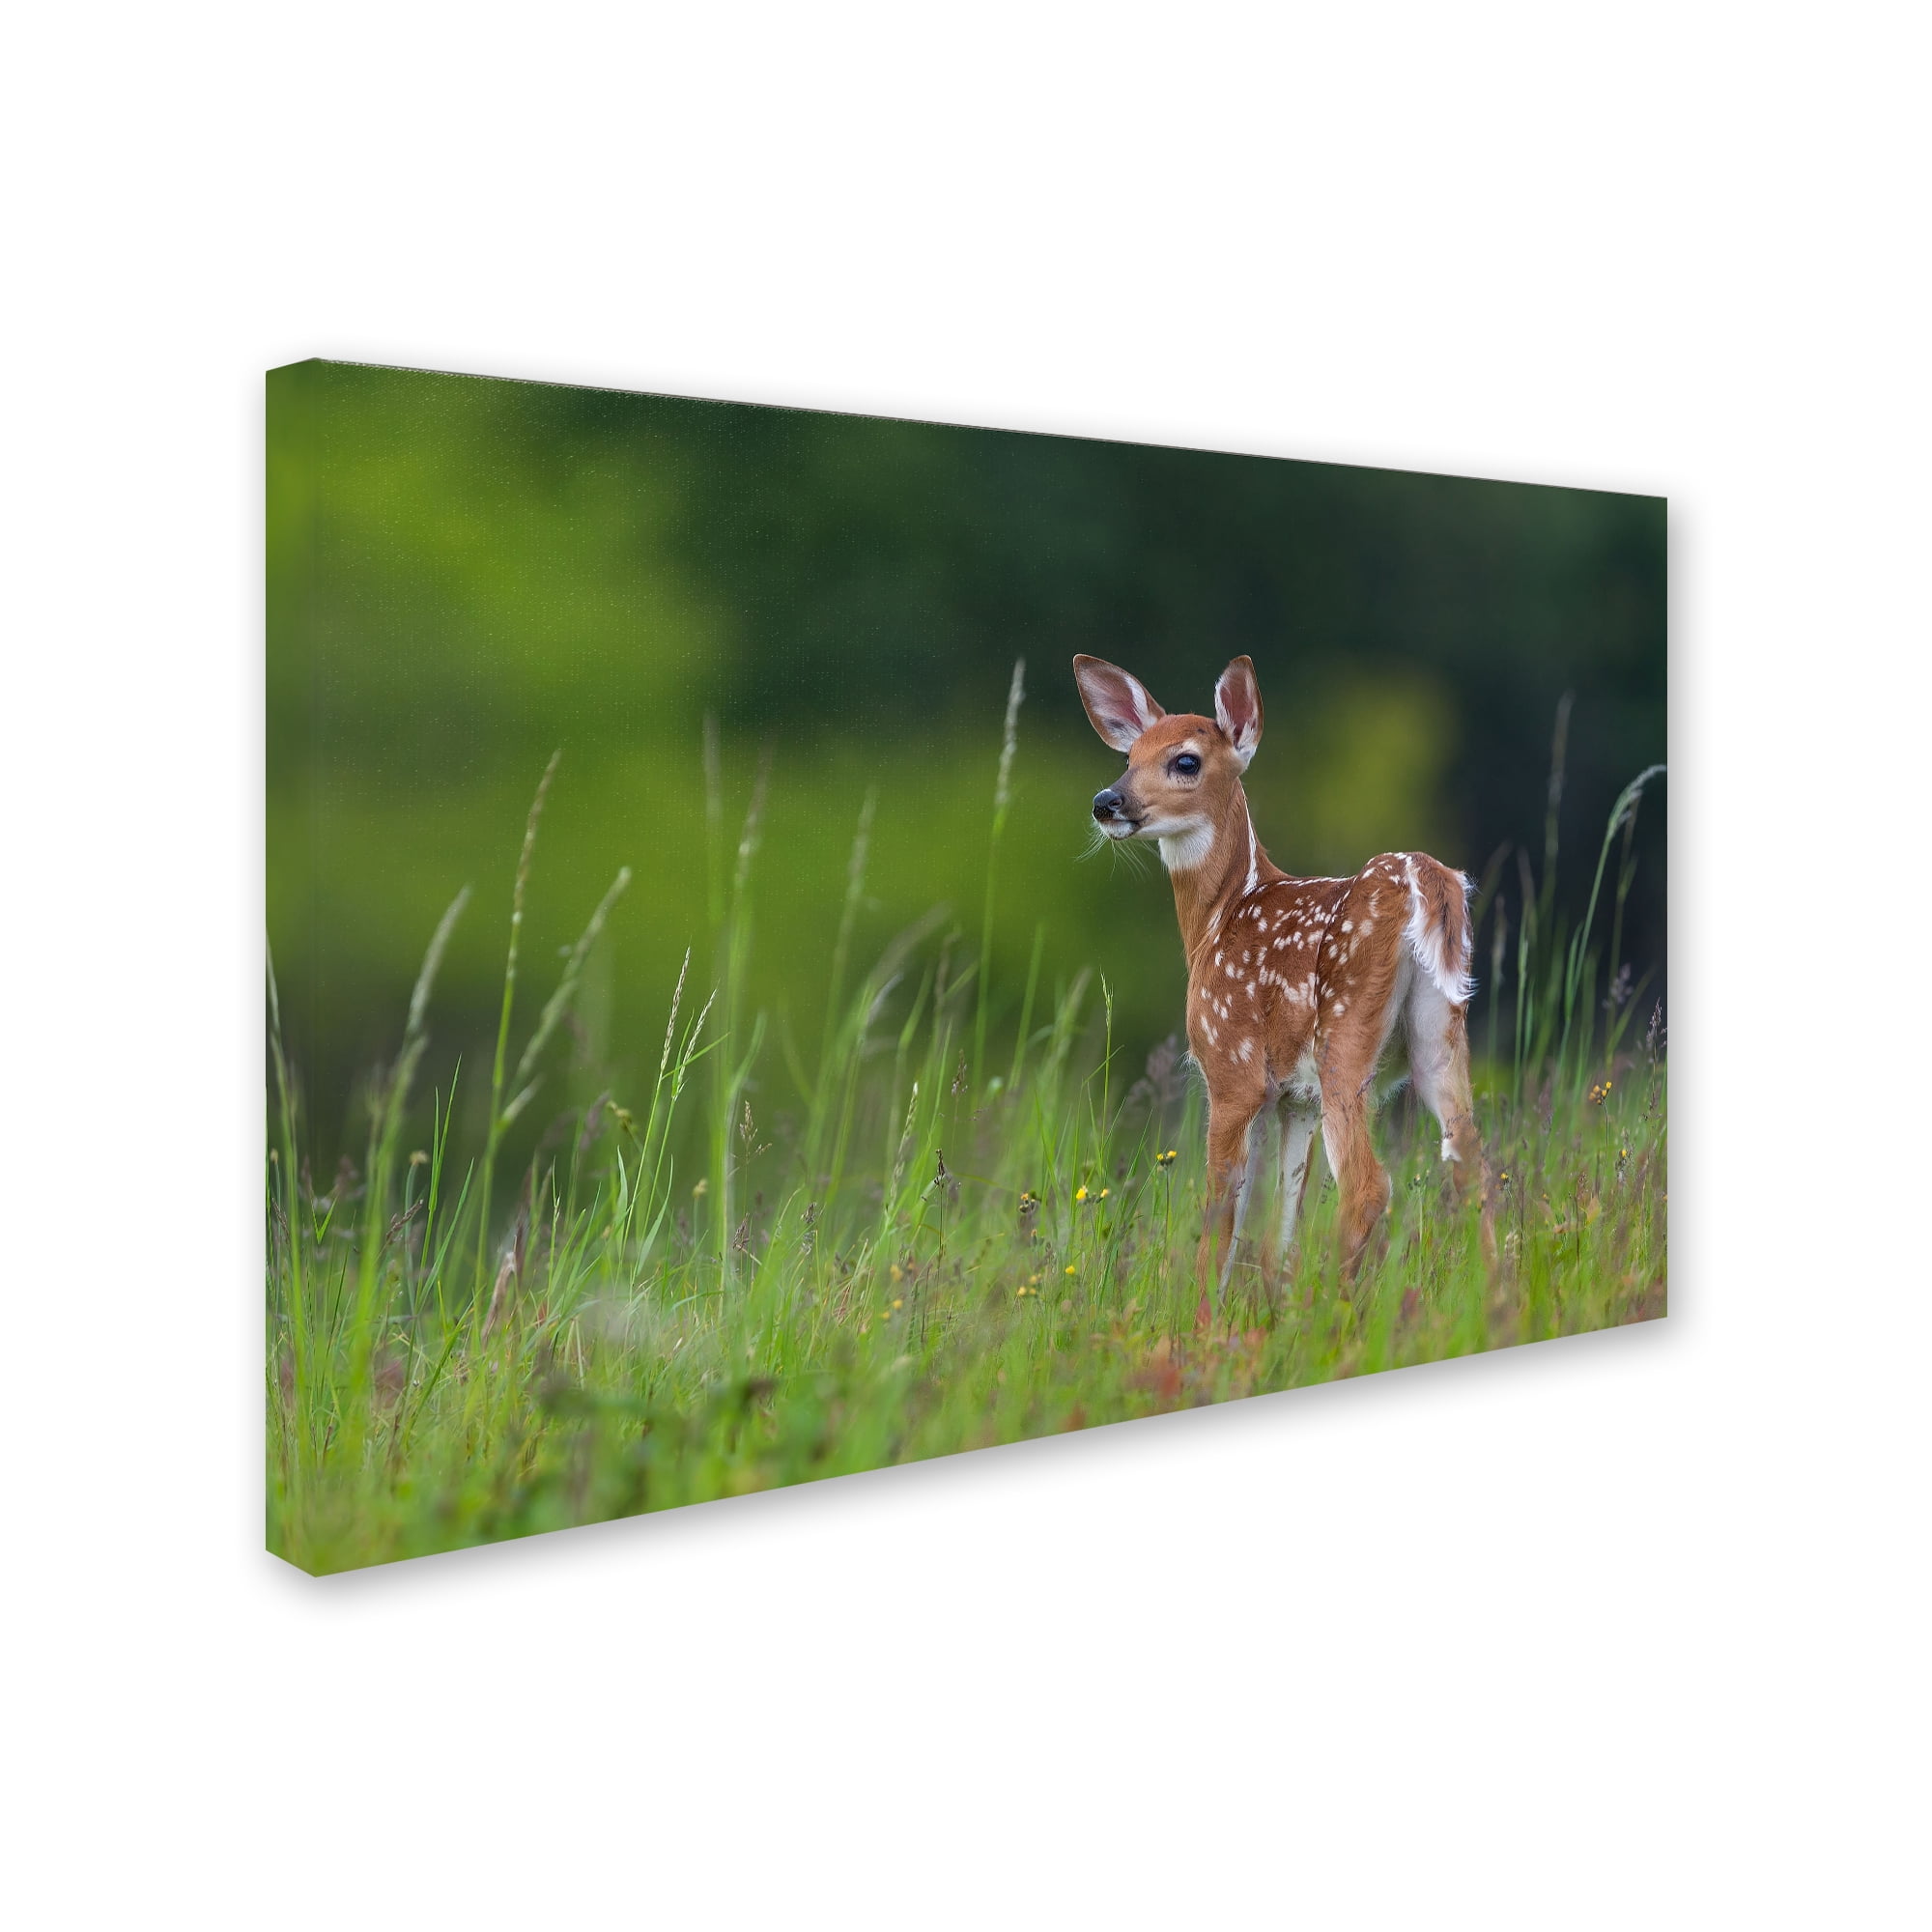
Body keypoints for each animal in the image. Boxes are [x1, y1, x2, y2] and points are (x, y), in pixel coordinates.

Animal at [1074, 653, 1495, 1318]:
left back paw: (1333, 1316)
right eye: (1128, 756)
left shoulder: (1233, 1069)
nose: (1106, 802)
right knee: (1472, 1165)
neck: (1219, 919)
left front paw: (1201, 1326)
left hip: (1345, 1038)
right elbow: (1281, 1222)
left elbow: (1221, 1216)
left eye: (1185, 760)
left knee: (1369, 1186)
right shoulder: (1296, 1099)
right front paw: (1268, 1310)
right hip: (1439, 1035)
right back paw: (1497, 1299)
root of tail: (1426, 880)